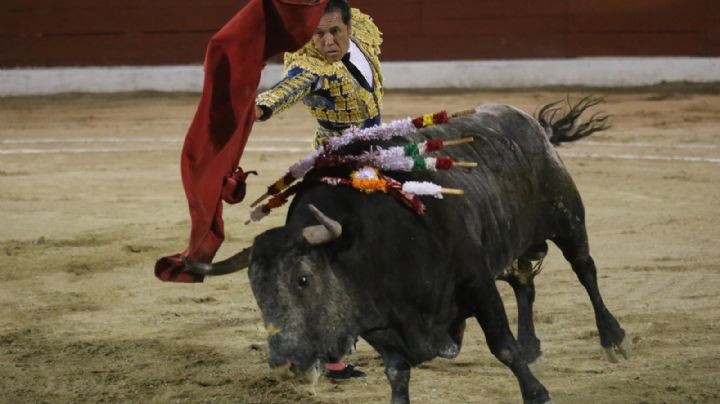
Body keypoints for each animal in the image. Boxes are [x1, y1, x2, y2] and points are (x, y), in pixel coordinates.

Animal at [187, 100, 632, 404]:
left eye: (303, 279)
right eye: (255, 290)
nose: (283, 366)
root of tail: (532, 124)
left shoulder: (476, 282)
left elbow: (501, 345)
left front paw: (537, 394)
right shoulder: (381, 324)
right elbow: (397, 374)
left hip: (567, 217)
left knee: (585, 269)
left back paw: (612, 339)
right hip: (509, 242)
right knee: (524, 283)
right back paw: (533, 345)